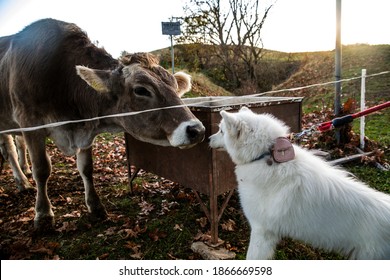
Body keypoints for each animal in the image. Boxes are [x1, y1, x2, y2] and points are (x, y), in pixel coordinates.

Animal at [0, 18, 206, 231]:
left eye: (174, 86)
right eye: (141, 90)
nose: (197, 130)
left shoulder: (85, 129)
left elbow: (86, 168)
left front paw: (95, 207)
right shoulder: (30, 122)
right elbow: (41, 169)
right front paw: (43, 215)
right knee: (9, 150)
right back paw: (22, 182)